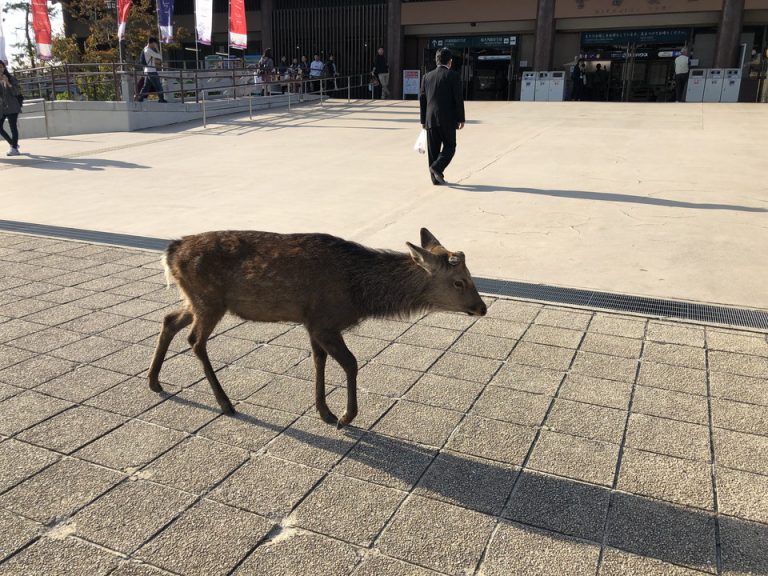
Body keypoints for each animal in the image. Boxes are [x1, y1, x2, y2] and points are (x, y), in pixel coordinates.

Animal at [148, 228, 487, 427]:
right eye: (459, 281)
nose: (482, 307)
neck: (358, 295)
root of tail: (171, 251)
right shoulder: (325, 320)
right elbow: (351, 363)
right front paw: (345, 417)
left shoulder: (312, 323)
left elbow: (318, 361)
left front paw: (324, 411)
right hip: (208, 300)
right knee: (195, 340)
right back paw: (225, 402)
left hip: (197, 299)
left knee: (169, 320)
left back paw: (154, 382)